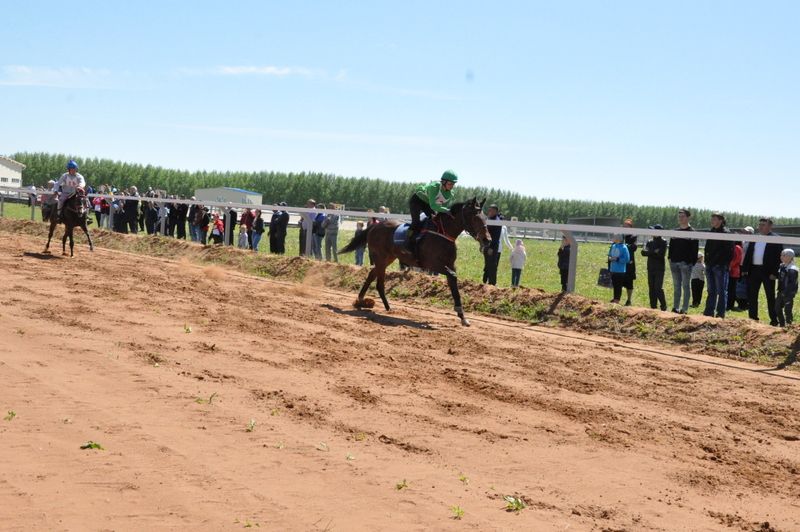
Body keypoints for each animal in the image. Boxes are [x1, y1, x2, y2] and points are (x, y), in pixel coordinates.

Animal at [340, 197, 490, 326]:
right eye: (475, 217)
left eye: (486, 218)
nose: (487, 240)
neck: (443, 233)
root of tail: (375, 226)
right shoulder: (433, 264)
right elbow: (452, 277)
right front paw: (460, 313)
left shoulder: (450, 264)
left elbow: (454, 284)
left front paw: (463, 317)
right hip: (381, 258)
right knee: (379, 283)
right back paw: (385, 306)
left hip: (387, 258)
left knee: (372, 274)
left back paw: (363, 301)